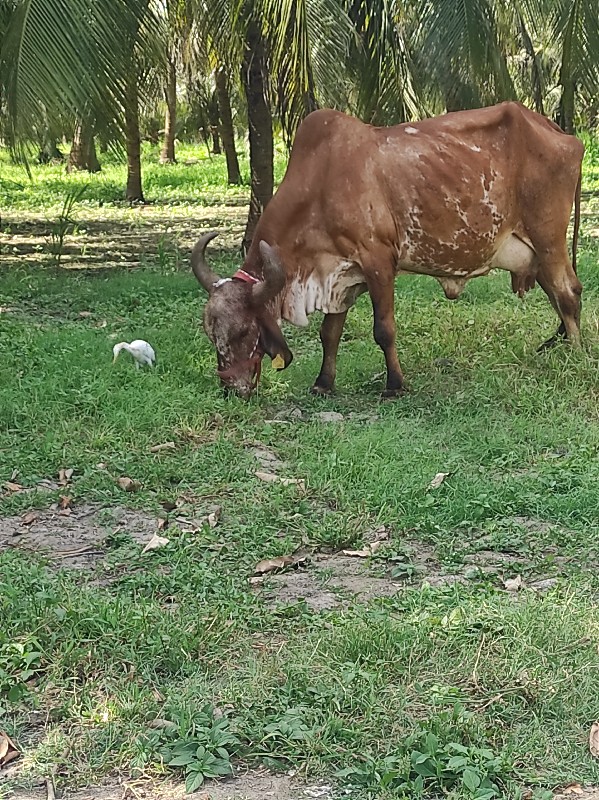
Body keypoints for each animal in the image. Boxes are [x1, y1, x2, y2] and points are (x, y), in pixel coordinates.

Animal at [193, 102, 584, 396]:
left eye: (244, 332)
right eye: (211, 335)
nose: (231, 388)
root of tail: (561, 133)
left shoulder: (379, 261)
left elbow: (384, 330)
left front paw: (395, 385)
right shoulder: (340, 275)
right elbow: (329, 333)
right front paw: (323, 383)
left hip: (549, 240)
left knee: (568, 294)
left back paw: (576, 355)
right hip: (537, 252)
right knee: (561, 294)